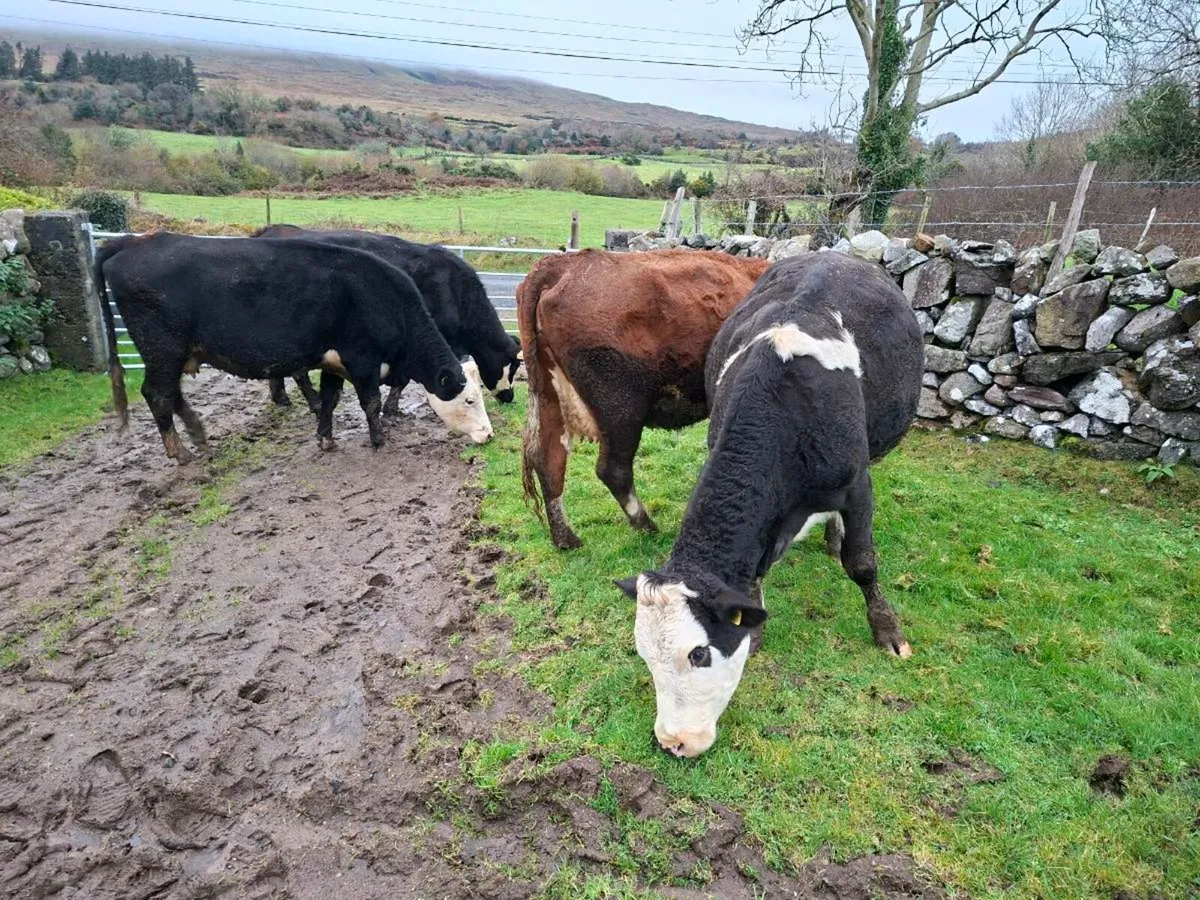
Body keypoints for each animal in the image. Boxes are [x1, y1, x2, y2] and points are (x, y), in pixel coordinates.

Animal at [95, 232, 493, 463]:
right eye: (469, 399)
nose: (489, 434)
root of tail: (128, 243)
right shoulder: (361, 360)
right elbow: (370, 402)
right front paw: (379, 438)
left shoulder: (334, 364)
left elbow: (330, 399)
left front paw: (325, 438)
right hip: (162, 348)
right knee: (157, 394)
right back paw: (180, 453)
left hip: (173, 353)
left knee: (171, 394)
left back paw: (199, 437)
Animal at [253, 225, 522, 413]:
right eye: (512, 367)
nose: (510, 397)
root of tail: (270, 230)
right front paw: (392, 408)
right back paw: (314, 402)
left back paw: (281, 398)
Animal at [518, 249, 769, 549]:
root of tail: (563, 265)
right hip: (621, 407)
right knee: (613, 469)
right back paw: (646, 524)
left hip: (549, 392)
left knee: (549, 459)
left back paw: (566, 538)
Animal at [615, 253, 924, 758]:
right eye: (643, 654)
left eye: (698, 653)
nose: (673, 742)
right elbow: (755, 578)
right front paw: (755, 630)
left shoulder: (857, 485)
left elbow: (863, 563)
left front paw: (887, 631)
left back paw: (834, 540)